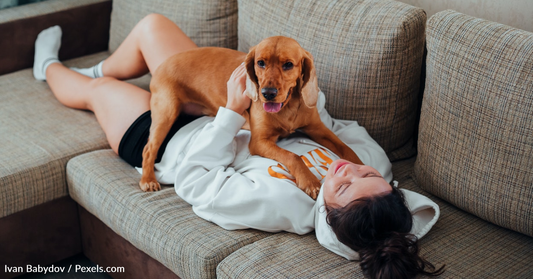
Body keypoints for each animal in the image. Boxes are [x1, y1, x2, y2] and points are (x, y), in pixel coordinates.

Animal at [139, 36, 362, 200]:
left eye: (288, 65)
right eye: (260, 63)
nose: (267, 93)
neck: (288, 108)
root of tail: (161, 65)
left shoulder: (318, 129)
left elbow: (346, 148)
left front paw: (362, 167)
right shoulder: (259, 141)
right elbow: (293, 156)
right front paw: (309, 181)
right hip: (166, 112)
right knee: (149, 149)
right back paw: (148, 179)